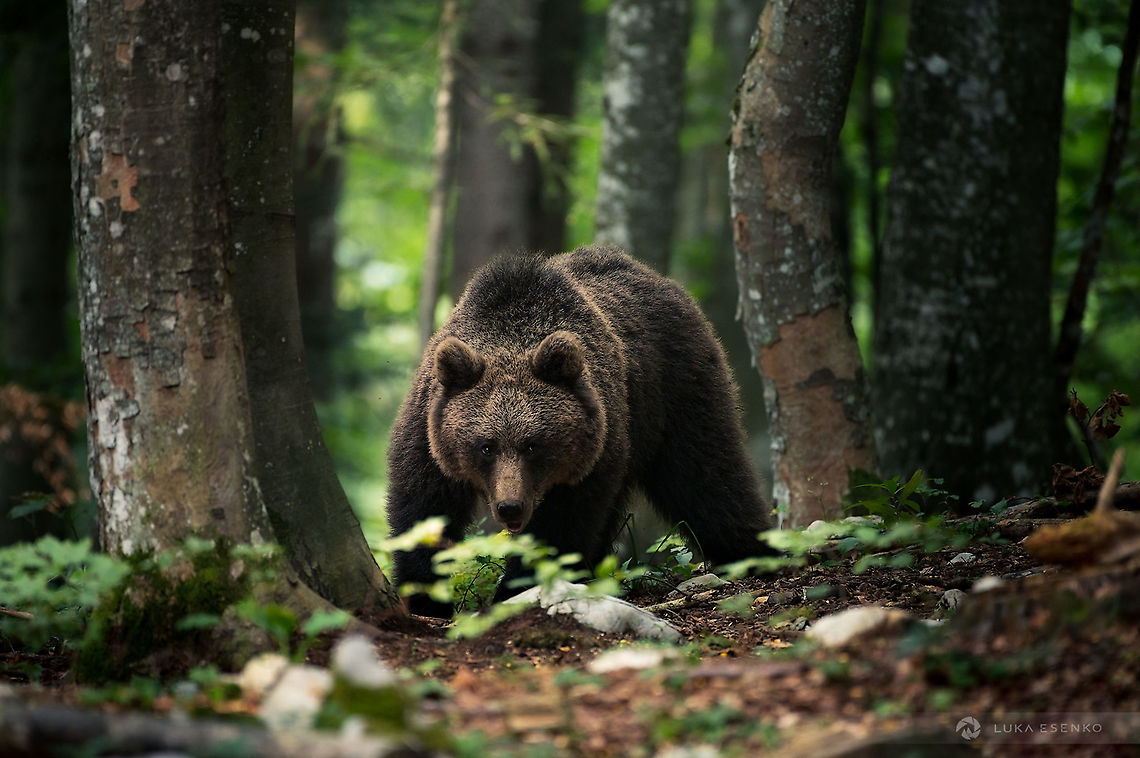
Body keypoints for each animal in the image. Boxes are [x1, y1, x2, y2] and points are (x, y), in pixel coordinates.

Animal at [386, 245, 770, 617]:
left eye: (533, 445)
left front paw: (517, 589)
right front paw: (426, 598)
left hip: (673, 387)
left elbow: (560, 528)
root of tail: (652, 275)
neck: (510, 334)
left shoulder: (591, 454)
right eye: (486, 446)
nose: (511, 507)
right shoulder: (429, 434)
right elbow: (423, 511)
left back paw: (751, 551)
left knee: (705, 473)